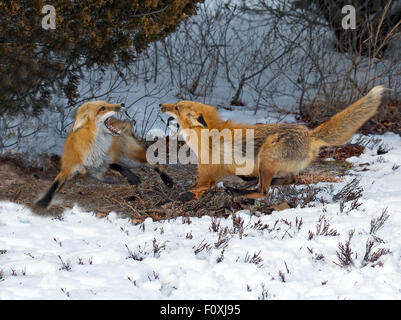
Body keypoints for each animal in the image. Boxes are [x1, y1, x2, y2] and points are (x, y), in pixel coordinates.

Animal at [161, 85, 386, 200]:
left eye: (177, 107)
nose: (161, 105)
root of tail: (310, 134)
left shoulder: (207, 174)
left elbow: (195, 189)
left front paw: (180, 195)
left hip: (267, 156)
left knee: (263, 192)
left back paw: (239, 192)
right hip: (273, 165)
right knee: (289, 181)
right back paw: (246, 185)